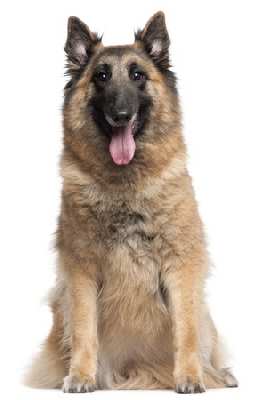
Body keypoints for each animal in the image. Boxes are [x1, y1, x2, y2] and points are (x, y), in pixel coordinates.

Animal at [25, 10, 239, 392]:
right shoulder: (80, 272)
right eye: (101, 76)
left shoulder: (182, 268)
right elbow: (84, 331)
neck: (125, 188)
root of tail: (137, 369)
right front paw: (81, 376)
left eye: (138, 75)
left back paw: (218, 374)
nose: (121, 115)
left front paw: (189, 376)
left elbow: (186, 332)